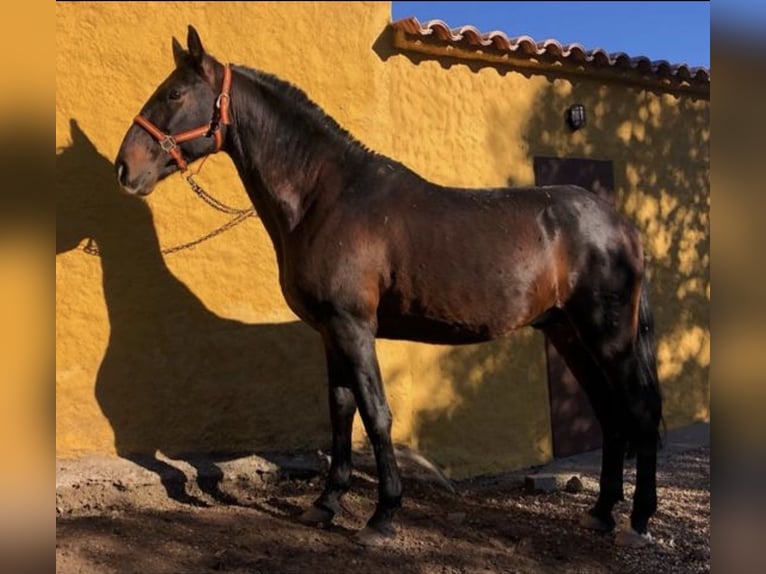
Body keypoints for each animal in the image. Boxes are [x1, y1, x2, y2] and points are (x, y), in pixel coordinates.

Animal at [115, 25, 663, 548]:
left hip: (608, 336)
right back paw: (600, 513)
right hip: (568, 333)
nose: (126, 167)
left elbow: (376, 414)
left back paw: (637, 522)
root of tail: (622, 226)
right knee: (609, 412)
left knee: (638, 410)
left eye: (175, 93)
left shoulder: (354, 328)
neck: (325, 197)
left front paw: (382, 516)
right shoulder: (330, 333)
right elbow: (340, 412)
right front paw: (325, 504)